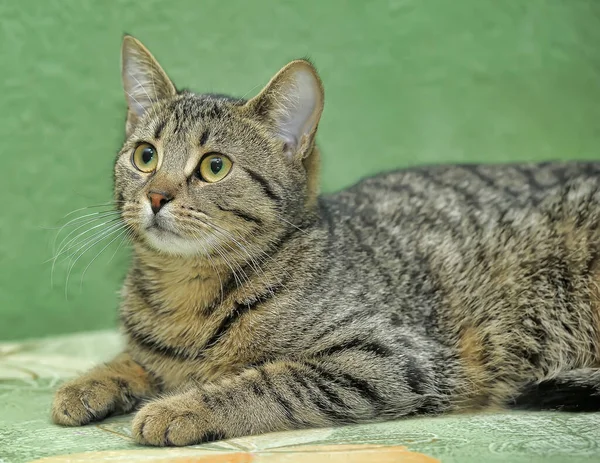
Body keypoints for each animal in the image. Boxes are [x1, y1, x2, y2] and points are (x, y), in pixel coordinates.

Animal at [52, 34, 600, 448]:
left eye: (214, 167)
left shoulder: (393, 358)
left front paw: (182, 408)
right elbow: (137, 360)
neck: (185, 292)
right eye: (145, 156)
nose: (156, 195)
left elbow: (271, 381)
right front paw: (89, 381)